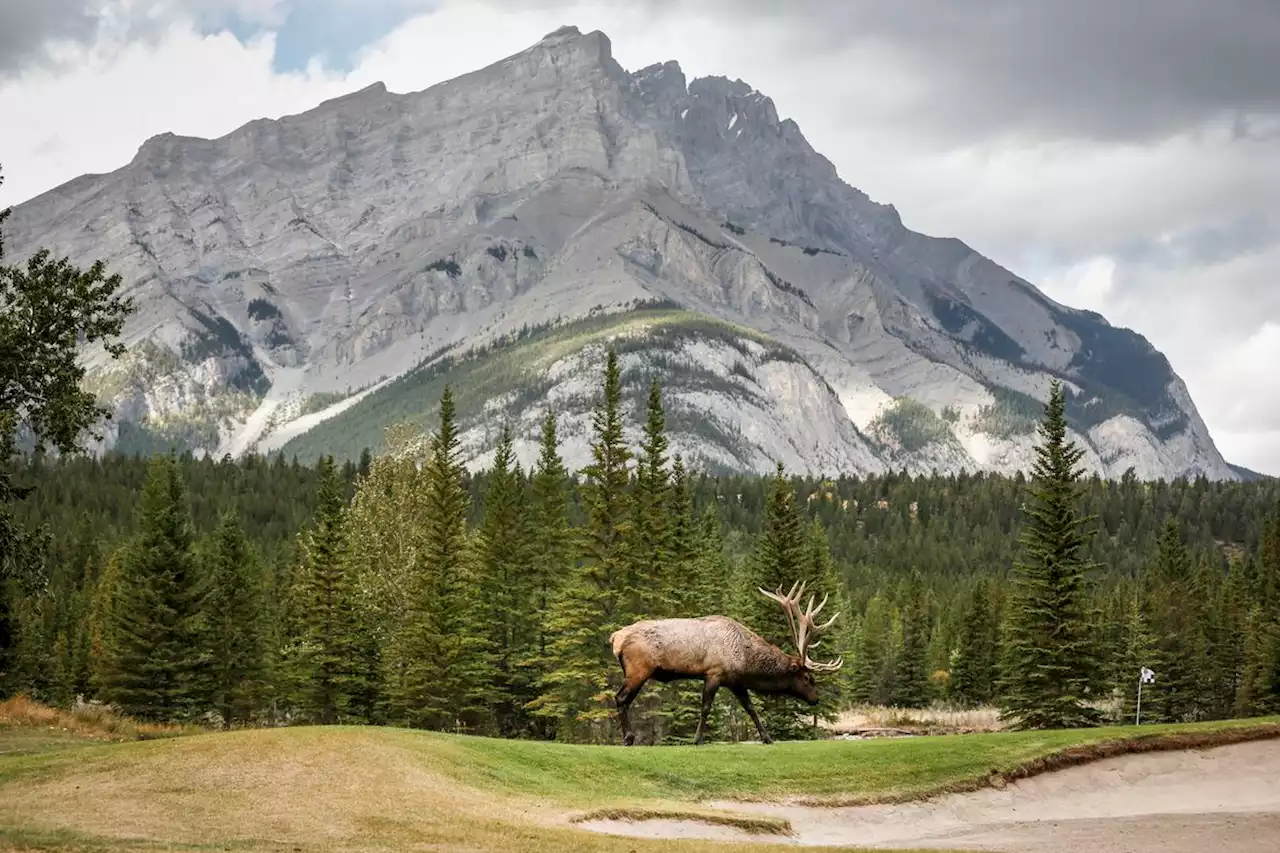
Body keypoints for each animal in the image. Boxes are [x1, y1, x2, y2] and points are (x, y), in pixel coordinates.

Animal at [606, 578, 839, 742]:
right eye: (807, 678)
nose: (816, 698)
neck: (745, 659)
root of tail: (616, 637)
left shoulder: (736, 681)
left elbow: (750, 708)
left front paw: (768, 738)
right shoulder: (714, 673)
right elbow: (705, 708)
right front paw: (697, 739)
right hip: (638, 670)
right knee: (621, 698)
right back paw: (628, 738)